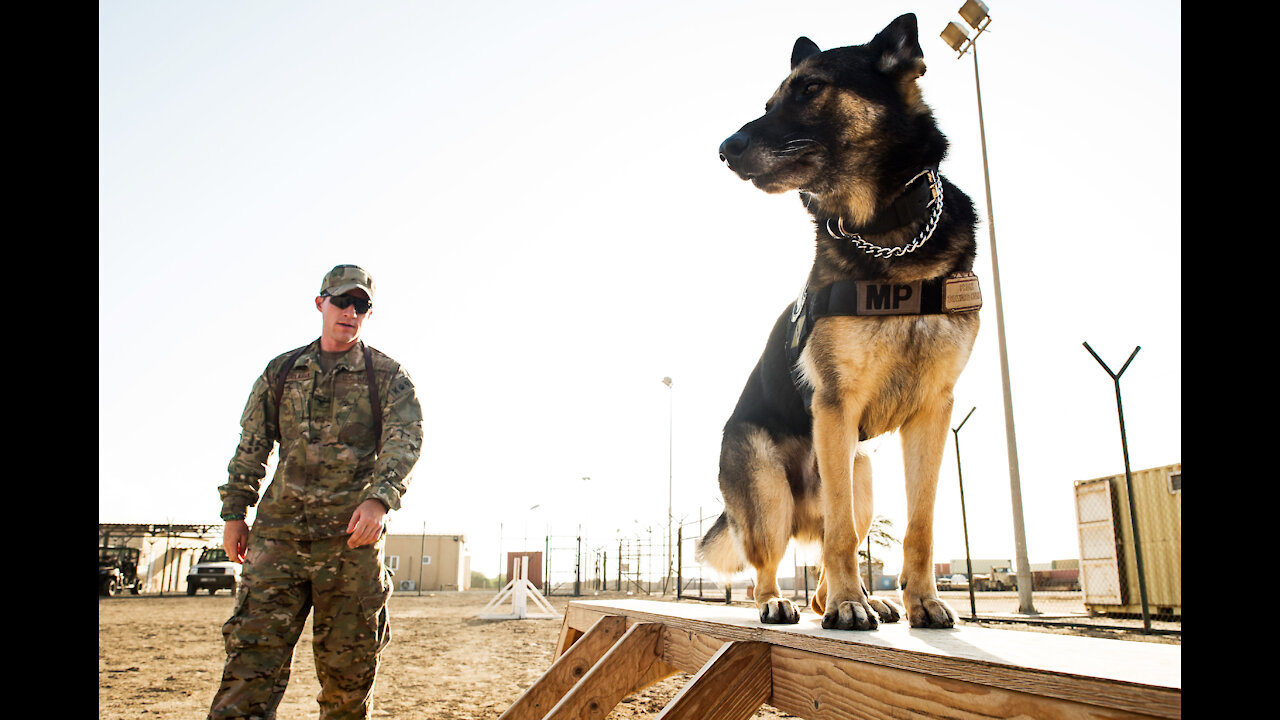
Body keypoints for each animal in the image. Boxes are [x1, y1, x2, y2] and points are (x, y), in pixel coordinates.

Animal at [701, 12, 977, 627]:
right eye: (770, 100)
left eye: (810, 89)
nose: (726, 149)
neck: (889, 235)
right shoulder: (834, 403)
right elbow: (843, 535)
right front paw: (851, 605)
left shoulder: (933, 412)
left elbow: (920, 525)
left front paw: (921, 601)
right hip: (770, 488)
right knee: (774, 562)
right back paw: (785, 601)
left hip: (861, 472)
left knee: (830, 541)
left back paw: (860, 598)